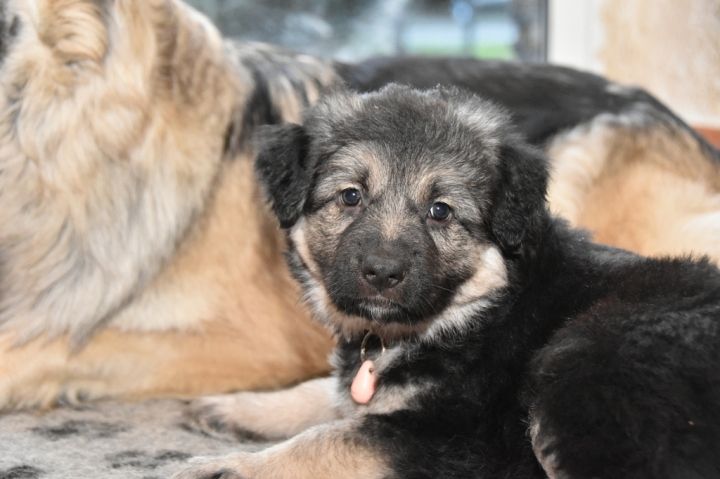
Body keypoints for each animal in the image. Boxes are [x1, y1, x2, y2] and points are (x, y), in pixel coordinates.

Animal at [174, 85, 720, 479]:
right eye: (350, 196)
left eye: (440, 211)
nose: (382, 272)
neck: (483, 309)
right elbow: (331, 394)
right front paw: (235, 406)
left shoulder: (456, 436)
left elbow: (331, 439)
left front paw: (223, 468)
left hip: (579, 360)